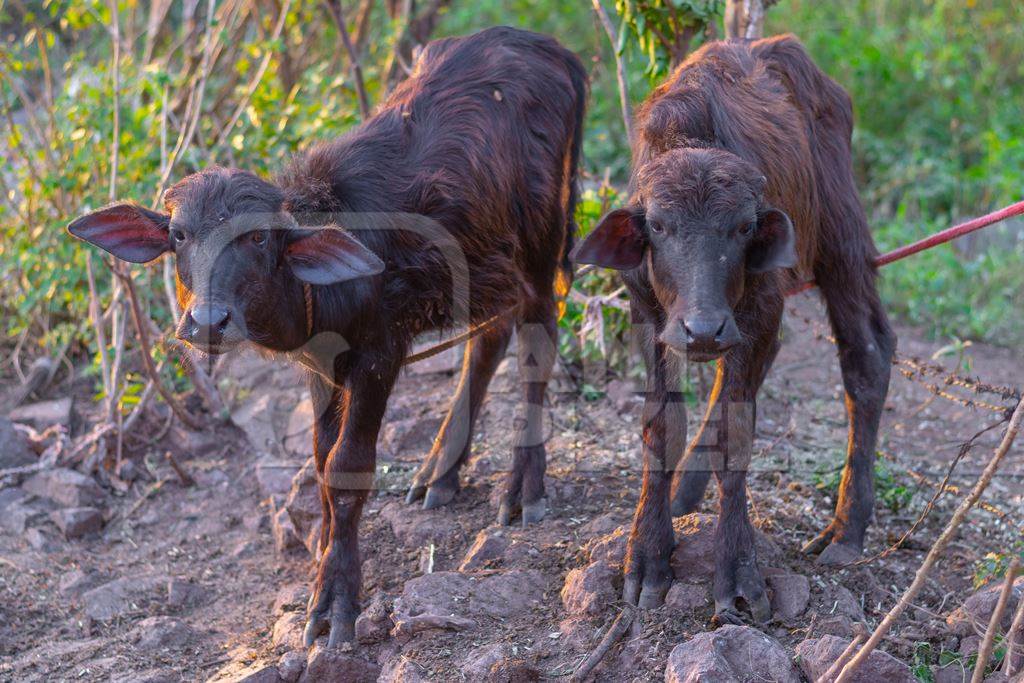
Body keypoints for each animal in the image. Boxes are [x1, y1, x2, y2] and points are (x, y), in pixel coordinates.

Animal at [68, 26, 589, 647]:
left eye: (260, 239)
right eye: (178, 235)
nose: (209, 322)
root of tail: (550, 49)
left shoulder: (378, 358)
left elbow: (346, 469)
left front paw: (335, 599)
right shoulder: (320, 369)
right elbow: (318, 462)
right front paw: (320, 554)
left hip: (540, 245)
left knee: (537, 340)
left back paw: (523, 487)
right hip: (484, 262)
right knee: (489, 340)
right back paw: (439, 472)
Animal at [577, 36, 897, 626]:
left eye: (744, 226)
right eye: (660, 225)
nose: (703, 329)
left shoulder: (762, 308)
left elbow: (737, 434)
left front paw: (737, 573)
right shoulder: (650, 315)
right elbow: (664, 426)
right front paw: (648, 557)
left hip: (841, 238)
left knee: (867, 355)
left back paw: (847, 528)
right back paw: (685, 492)